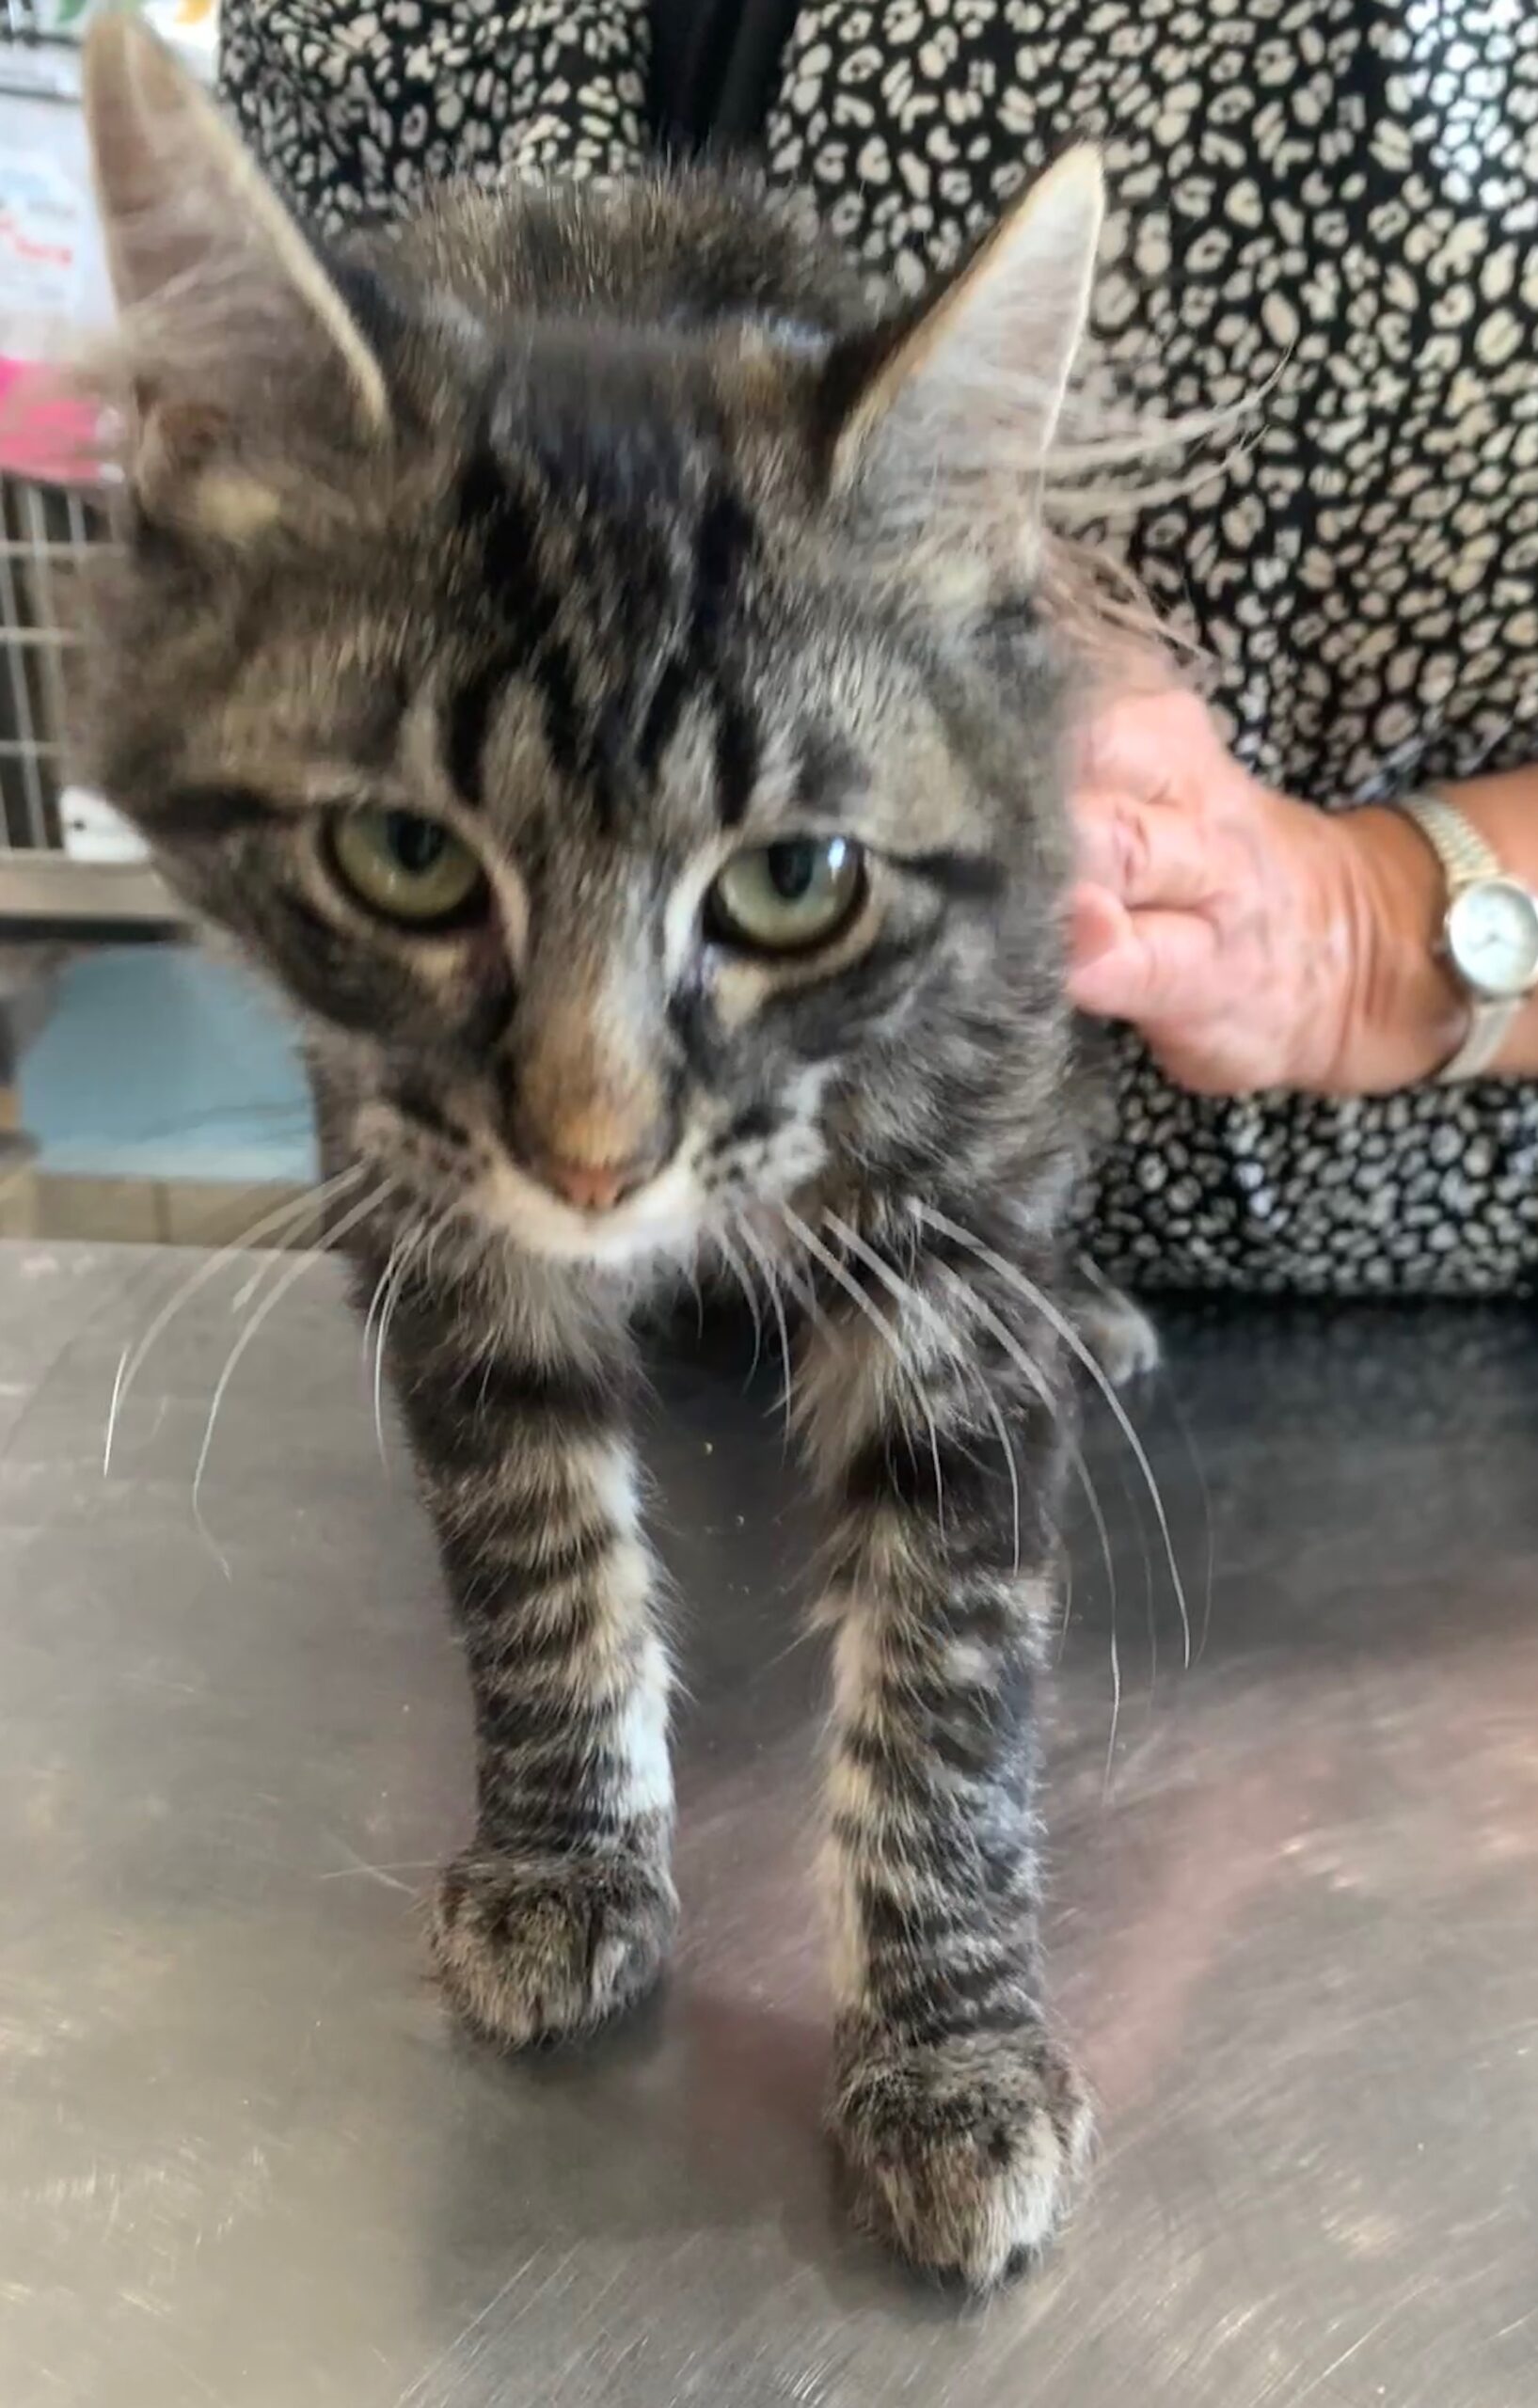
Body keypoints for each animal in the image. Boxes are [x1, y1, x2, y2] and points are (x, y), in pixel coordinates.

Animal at [76, 15, 1132, 2290]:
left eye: (797, 884)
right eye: (402, 856)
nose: (590, 1159)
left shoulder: (960, 1222)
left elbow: (951, 1669)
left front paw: (951, 2048)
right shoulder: (433, 1203)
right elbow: (531, 1544)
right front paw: (566, 1846)